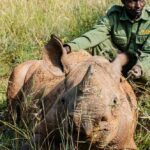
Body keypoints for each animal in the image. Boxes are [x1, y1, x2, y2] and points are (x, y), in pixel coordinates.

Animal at [7, 35, 138, 149]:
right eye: (63, 100)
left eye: (115, 101)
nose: (83, 124)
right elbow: (33, 142)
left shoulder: (126, 138)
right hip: (26, 67)